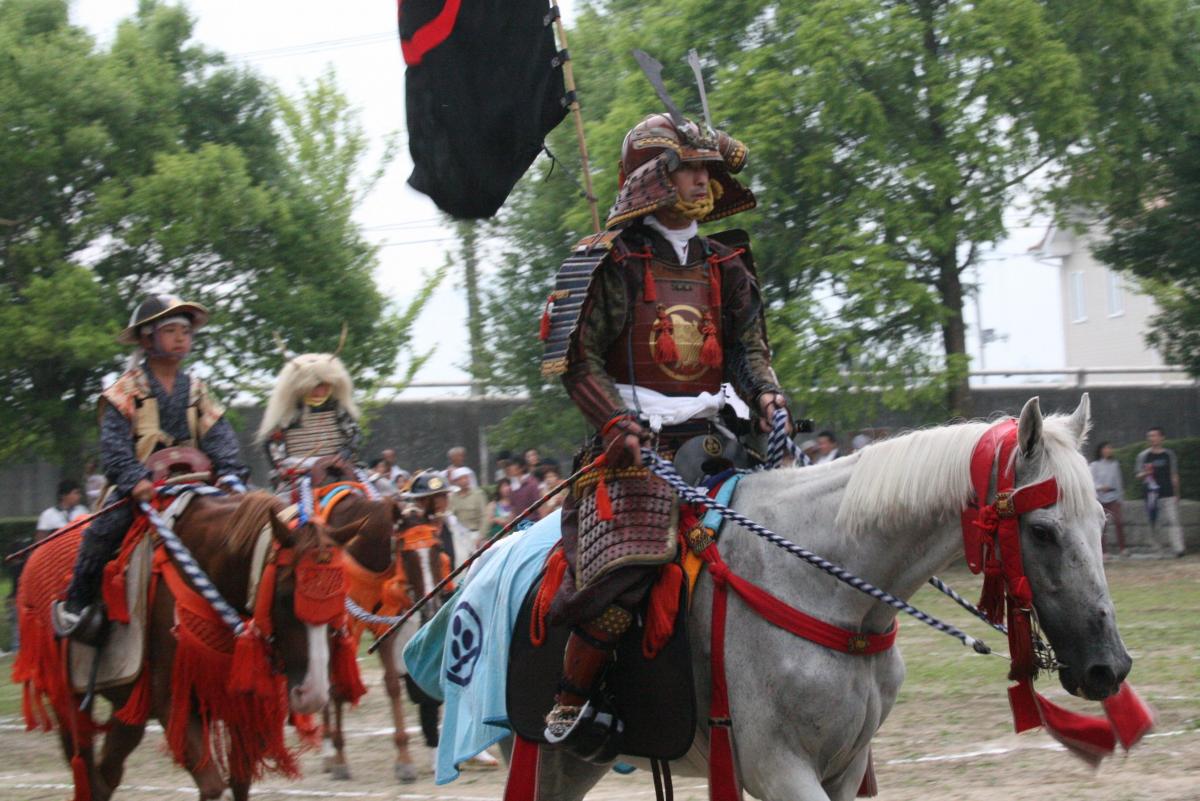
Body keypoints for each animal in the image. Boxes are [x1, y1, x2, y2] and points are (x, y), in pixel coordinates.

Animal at [14, 489, 364, 801]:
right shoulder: (175, 706)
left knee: (106, 774)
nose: (312, 693)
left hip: (129, 709)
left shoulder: (240, 708)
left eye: (340, 597)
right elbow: (213, 787)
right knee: (85, 767)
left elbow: (239, 785)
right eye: (284, 596)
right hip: (65, 697)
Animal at [324, 494, 453, 781]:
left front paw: (404, 757)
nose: (432, 604)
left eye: (437, 547)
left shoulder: (389, 622)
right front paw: (340, 756)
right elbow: (339, 686)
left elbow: (393, 683)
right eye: (405, 552)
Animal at [530, 398, 1128, 801]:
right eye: (1043, 532)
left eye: (1100, 522)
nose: (1110, 667)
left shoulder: (845, 766)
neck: (828, 589)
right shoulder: (779, 770)